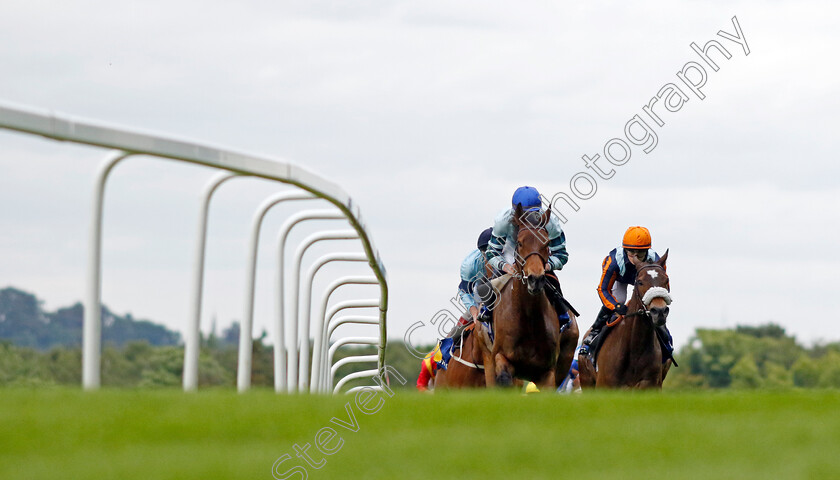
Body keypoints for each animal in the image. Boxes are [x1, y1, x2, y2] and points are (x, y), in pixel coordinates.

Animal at [488, 205, 580, 390]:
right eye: (520, 242)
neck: (528, 318)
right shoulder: (500, 356)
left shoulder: (547, 372)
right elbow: (503, 378)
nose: (535, 279)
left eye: (546, 243)